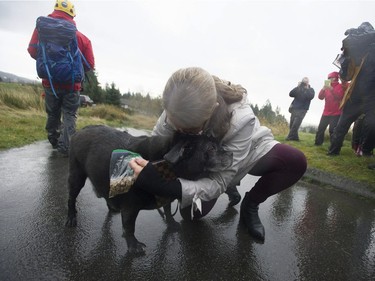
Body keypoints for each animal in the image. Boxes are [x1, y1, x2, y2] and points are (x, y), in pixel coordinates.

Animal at [66, 124, 234, 254]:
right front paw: (133, 245)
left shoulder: (166, 194)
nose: (231, 153)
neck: (167, 166)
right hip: (76, 176)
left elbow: (167, 209)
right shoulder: (130, 206)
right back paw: (71, 218)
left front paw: (171, 223)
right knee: (71, 198)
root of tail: (80, 131)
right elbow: (129, 225)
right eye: (211, 148)